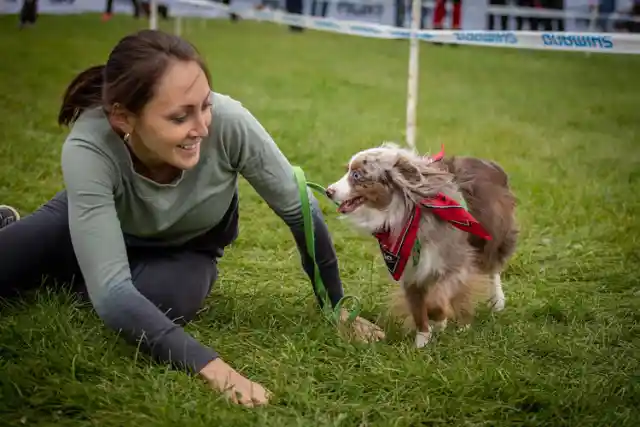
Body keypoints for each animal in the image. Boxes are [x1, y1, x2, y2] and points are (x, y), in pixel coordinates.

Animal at [328, 142, 516, 350]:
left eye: (356, 175)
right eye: (347, 171)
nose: (328, 191)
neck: (407, 211)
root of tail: (489, 163)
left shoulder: (453, 262)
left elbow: (436, 302)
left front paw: (439, 321)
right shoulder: (408, 266)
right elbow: (418, 306)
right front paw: (422, 341)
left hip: (492, 235)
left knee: (493, 268)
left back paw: (496, 301)